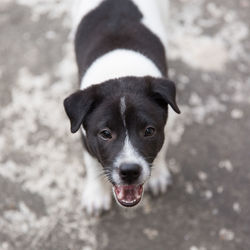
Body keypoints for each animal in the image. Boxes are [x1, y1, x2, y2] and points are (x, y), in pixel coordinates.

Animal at [64, 0, 182, 215]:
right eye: (105, 134)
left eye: (149, 131)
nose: (129, 172)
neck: (121, 70)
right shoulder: (85, 137)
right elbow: (91, 163)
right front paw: (96, 195)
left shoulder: (166, 126)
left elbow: (161, 150)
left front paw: (159, 175)